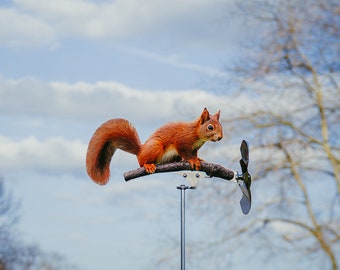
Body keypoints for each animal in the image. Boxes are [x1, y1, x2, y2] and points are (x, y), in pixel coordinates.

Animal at [86, 107, 222, 186]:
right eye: (210, 127)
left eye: (221, 126)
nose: (220, 137)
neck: (196, 133)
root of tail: (140, 151)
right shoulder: (182, 142)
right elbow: (186, 153)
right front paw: (193, 161)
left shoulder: (195, 148)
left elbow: (194, 154)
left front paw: (199, 159)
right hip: (155, 147)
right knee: (142, 163)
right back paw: (148, 165)